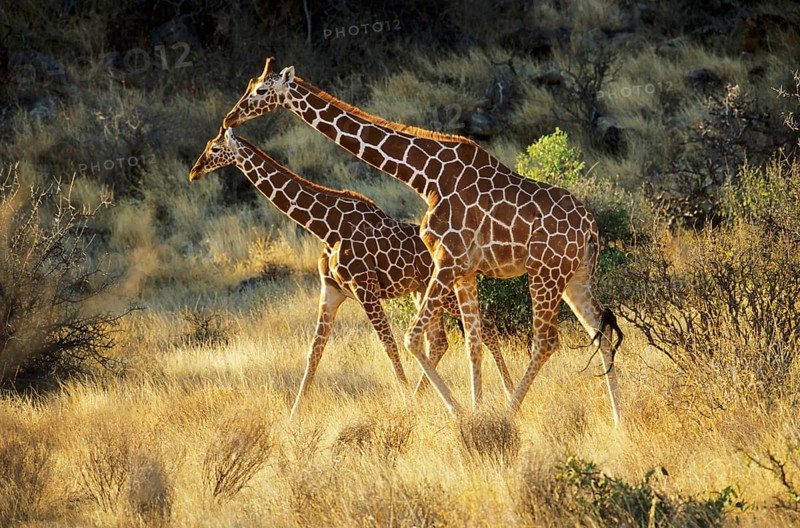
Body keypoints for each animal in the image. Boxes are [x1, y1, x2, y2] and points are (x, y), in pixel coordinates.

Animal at [189, 127, 515, 418]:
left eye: (214, 149)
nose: (194, 171)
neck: (326, 226)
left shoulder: (365, 288)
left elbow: (389, 345)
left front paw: (407, 403)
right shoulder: (331, 292)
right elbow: (314, 353)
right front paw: (293, 416)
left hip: (443, 290)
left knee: (484, 325)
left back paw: (506, 392)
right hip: (422, 291)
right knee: (439, 341)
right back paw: (433, 396)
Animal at [222, 58, 623, 424]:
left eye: (260, 91)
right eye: (250, 86)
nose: (229, 119)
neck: (424, 175)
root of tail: (590, 225)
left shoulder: (447, 260)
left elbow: (413, 339)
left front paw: (459, 413)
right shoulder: (463, 270)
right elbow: (473, 343)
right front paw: (476, 410)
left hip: (545, 273)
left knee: (546, 341)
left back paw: (512, 412)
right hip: (575, 277)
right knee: (599, 330)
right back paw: (618, 420)